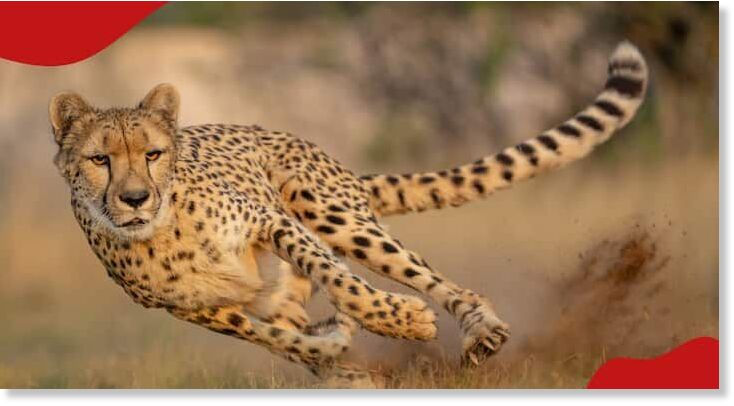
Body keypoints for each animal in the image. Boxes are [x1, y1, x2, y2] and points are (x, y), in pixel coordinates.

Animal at [49, 41, 648, 388]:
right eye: (101, 160)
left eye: (152, 154)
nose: (135, 199)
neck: (163, 231)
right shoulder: (200, 310)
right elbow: (281, 340)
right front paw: (338, 353)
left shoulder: (273, 222)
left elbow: (343, 281)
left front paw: (400, 320)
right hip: (281, 282)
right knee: (292, 320)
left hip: (330, 210)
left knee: (427, 278)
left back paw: (479, 328)